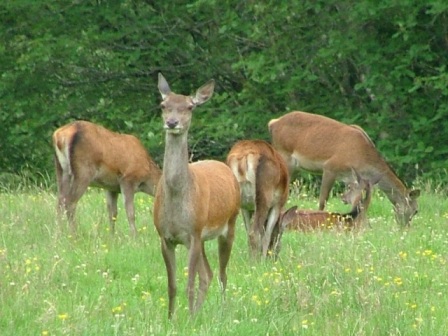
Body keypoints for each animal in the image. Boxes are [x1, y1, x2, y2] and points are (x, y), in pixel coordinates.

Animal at [152, 73, 240, 318]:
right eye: (163, 105)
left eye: (189, 107)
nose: (172, 123)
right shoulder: (165, 236)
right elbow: (172, 285)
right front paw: (171, 318)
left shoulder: (193, 232)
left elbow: (189, 283)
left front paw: (187, 318)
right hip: (202, 238)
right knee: (207, 274)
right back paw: (198, 313)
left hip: (229, 224)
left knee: (222, 274)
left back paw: (221, 309)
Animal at [270, 112, 420, 226]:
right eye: (415, 210)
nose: (405, 227)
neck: (362, 159)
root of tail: (273, 123)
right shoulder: (330, 167)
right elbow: (323, 201)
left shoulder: (351, 178)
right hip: (284, 156)